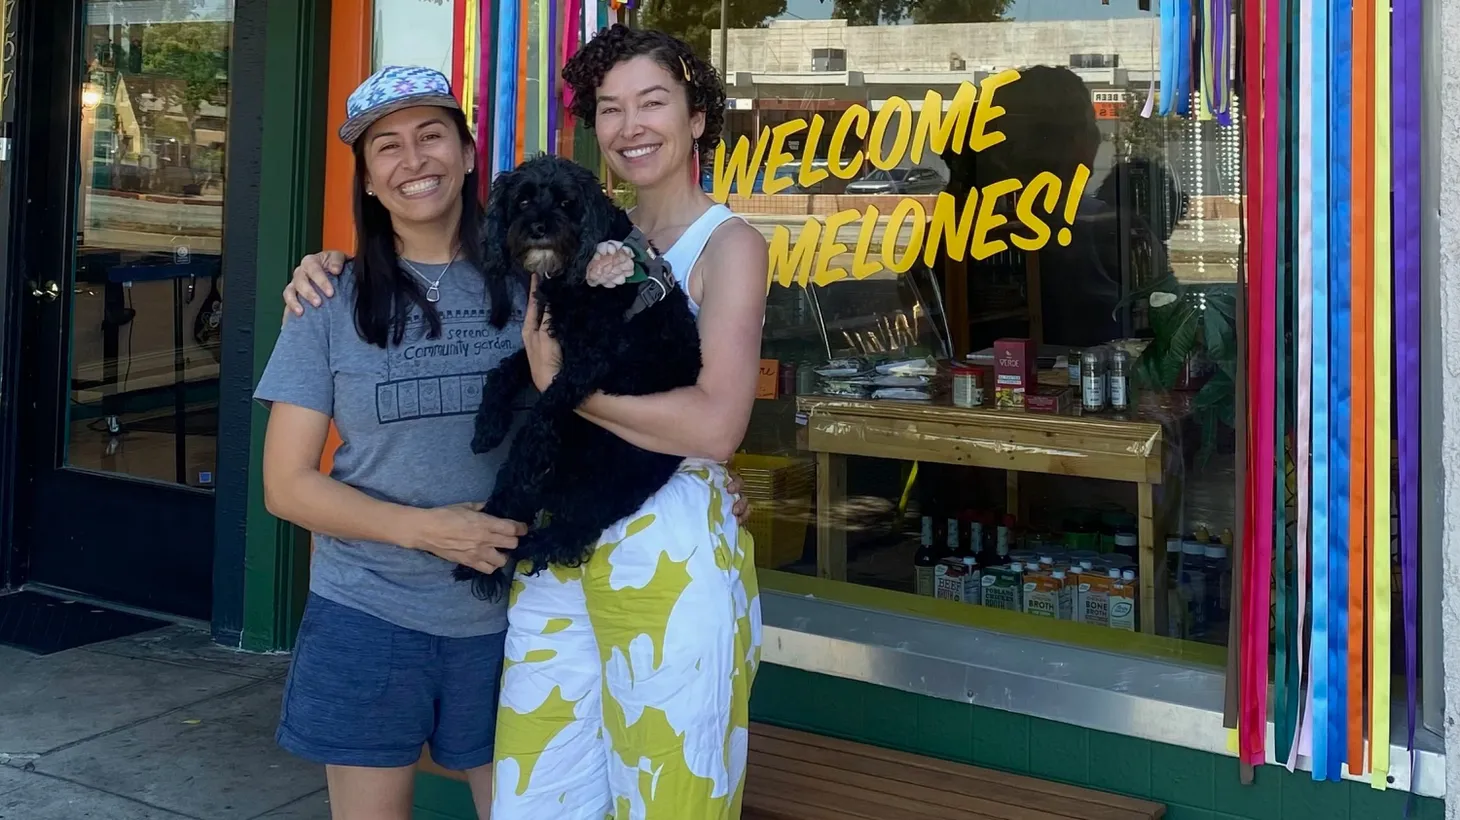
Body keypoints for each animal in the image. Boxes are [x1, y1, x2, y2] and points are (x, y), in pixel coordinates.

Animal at [455, 154, 706, 601]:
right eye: (522, 201)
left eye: (566, 202)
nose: (538, 228)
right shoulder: (550, 343)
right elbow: (505, 371)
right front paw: (488, 425)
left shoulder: (593, 356)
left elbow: (546, 404)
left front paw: (529, 442)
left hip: (610, 481)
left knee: (565, 534)